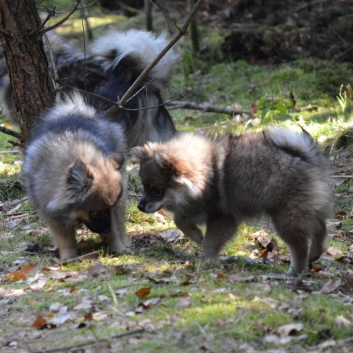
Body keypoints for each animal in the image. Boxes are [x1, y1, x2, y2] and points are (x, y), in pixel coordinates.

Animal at [22, 93, 129, 258]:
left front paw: (117, 247)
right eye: (96, 212)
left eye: (106, 210)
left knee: (120, 221)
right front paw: (69, 258)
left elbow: (114, 231)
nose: (107, 228)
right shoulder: (54, 215)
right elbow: (65, 240)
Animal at [131, 128, 332, 274]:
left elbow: (211, 240)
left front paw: (204, 257)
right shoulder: (196, 208)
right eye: (144, 186)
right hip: (305, 207)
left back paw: (296, 271)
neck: (206, 174)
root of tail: (302, 155)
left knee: (299, 243)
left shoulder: (222, 217)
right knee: (320, 227)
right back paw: (315, 253)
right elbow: (179, 220)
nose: (140, 206)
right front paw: (196, 235)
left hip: (285, 215)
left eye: (157, 190)